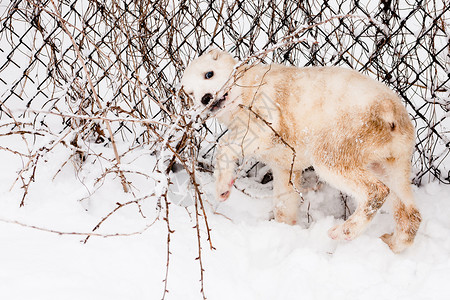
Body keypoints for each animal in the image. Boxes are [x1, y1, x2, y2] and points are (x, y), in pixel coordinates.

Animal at [181, 49, 420, 253]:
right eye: (191, 94)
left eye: (209, 74)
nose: (205, 98)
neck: (246, 88)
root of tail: (390, 110)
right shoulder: (284, 167)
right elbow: (282, 206)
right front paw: (284, 231)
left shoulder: (264, 127)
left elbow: (224, 146)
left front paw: (223, 188)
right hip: (391, 167)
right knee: (411, 214)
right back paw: (393, 245)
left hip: (329, 157)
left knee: (376, 191)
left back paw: (345, 231)